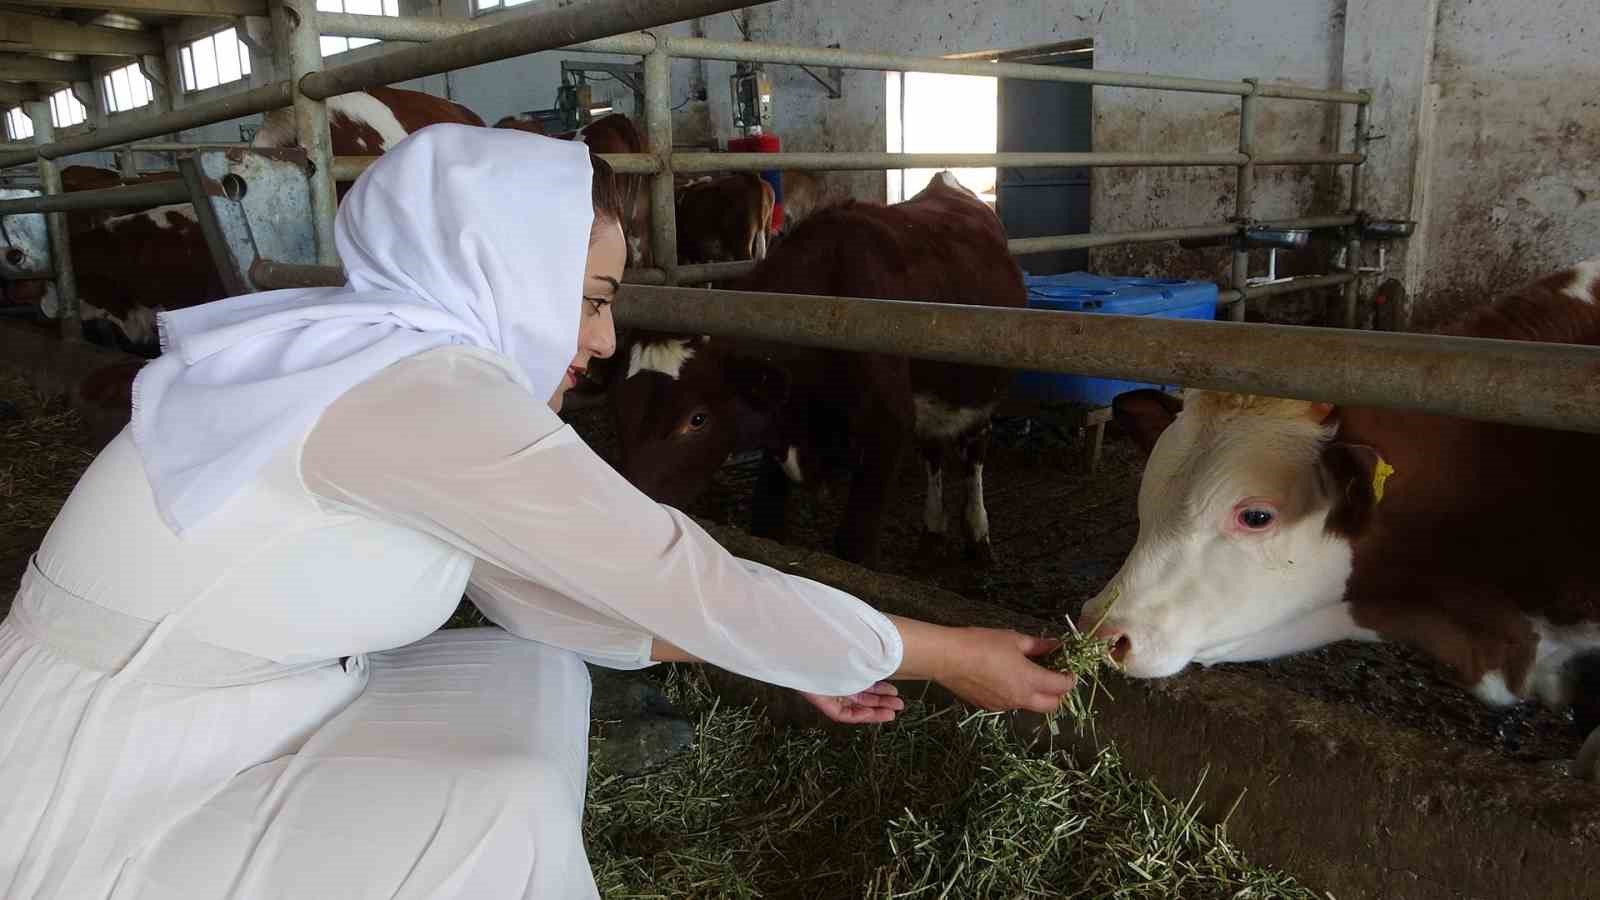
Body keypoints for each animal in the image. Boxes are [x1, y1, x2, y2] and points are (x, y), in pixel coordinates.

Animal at [604, 171, 1017, 563]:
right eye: (618, 408)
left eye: (697, 419)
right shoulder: (779, 420)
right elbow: (766, 528)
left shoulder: (887, 428)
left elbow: (854, 547)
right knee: (933, 452)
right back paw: (932, 533)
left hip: (980, 390)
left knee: (973, 452)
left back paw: (977, 534)